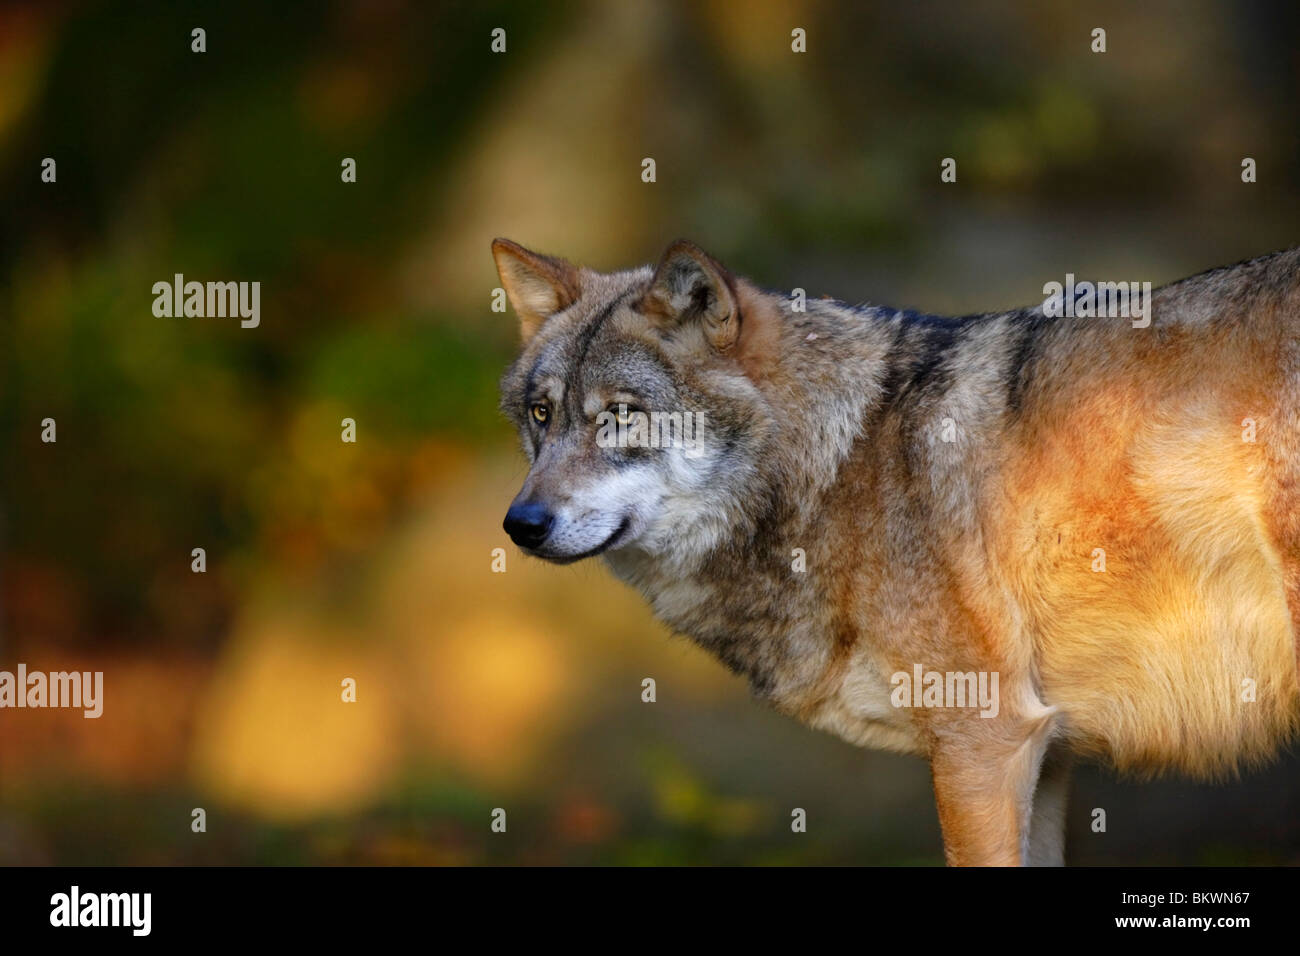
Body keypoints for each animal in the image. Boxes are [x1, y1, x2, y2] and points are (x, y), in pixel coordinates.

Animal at [493, 239, 1300, 868]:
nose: (520, 524)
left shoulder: (983, 740)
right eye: (542, 414)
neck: (839, 463)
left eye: (620, 417)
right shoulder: (1047, 755)